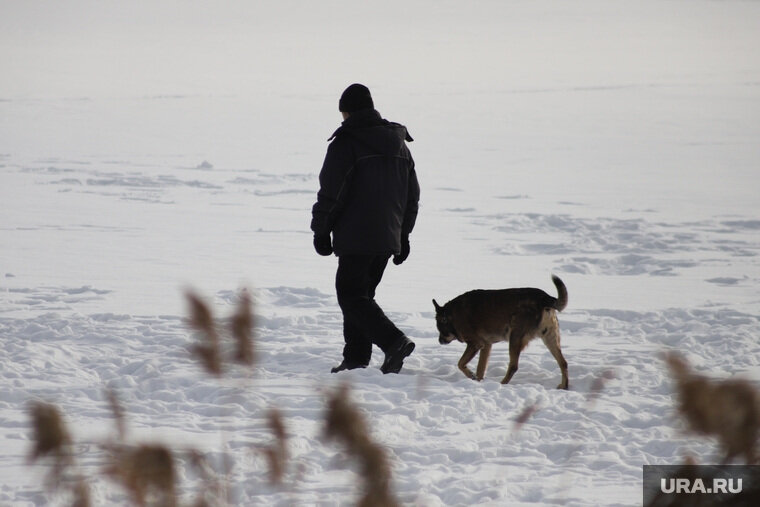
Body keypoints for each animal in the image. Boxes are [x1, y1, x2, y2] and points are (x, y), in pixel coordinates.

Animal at [434, 276, 568, 390]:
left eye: (440, 329)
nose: (439, 341)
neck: (452, 315)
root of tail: (545, 298)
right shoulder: (486, 345)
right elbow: (480, 368)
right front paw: (478, 382)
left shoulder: (475, 343)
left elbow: (460, 363)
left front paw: (471, 375)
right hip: (550, 337)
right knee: (563, 362)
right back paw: (564, 386)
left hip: (515, 337)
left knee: (513, 366)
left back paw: (502, 384)